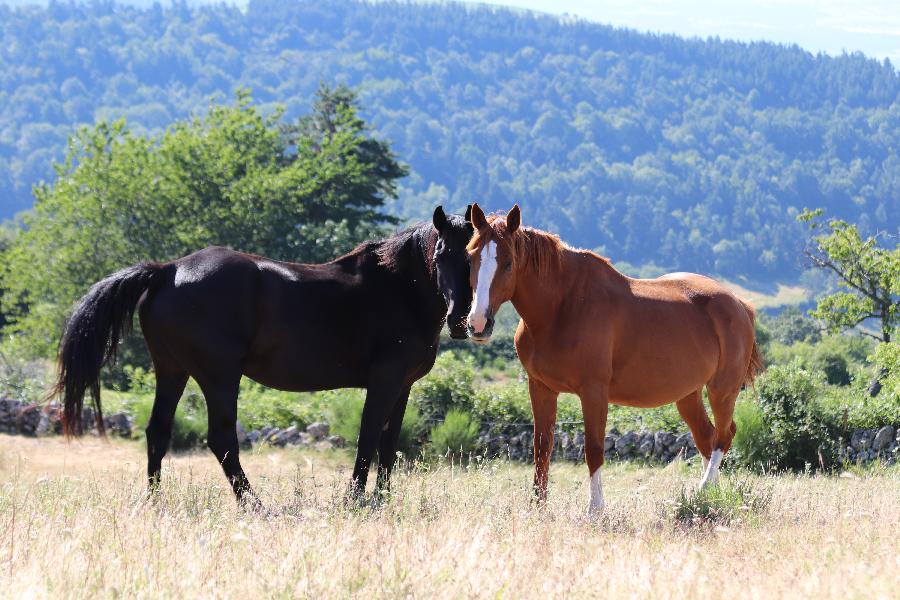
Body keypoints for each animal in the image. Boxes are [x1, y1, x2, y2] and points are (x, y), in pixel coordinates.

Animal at [52, 207, 474, 506]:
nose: (460, 319)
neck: (398, 288)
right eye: (440, 253)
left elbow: (389, 443)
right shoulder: (384, 382)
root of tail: (168, 270)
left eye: (477, 256)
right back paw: (254, 505)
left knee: (158, 432)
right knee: (221, 439)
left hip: (171, 371)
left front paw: (383, 499)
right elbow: (368, 437)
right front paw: (355, 500)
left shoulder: (402, 387)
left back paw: (156, 502)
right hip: (219, 376)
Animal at [468, 204, 764, 512]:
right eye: (471, 257)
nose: (478, 324)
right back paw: (709, 496)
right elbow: (542, 448)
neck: (562, 307)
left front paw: (595, 509)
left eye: (508, 263)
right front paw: (538, 508)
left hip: (722, 390)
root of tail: (738, 303)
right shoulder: (541, 388)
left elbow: (594, 449)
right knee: (706, 438)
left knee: (723, 435)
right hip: (688, 395)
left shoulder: (594, 392)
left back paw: (703, 491)